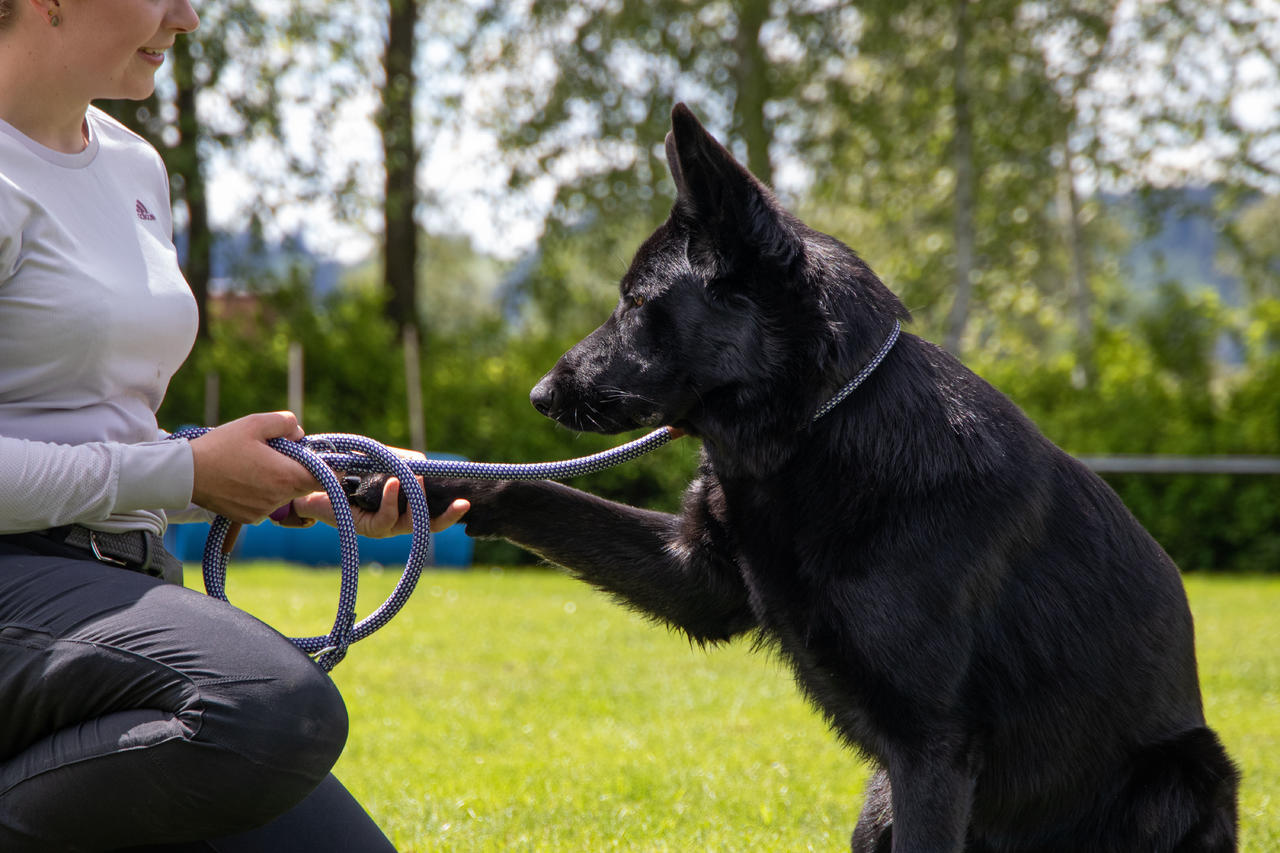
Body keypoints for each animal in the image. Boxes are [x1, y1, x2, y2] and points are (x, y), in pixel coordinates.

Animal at [412, 103, 1239, 845]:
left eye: (637, 301)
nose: (537, 394)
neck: (817, 426)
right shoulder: (696, 579)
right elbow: (529, 487)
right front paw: (411, 483)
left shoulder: (931, 751)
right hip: (877, 804)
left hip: (1179, 776)